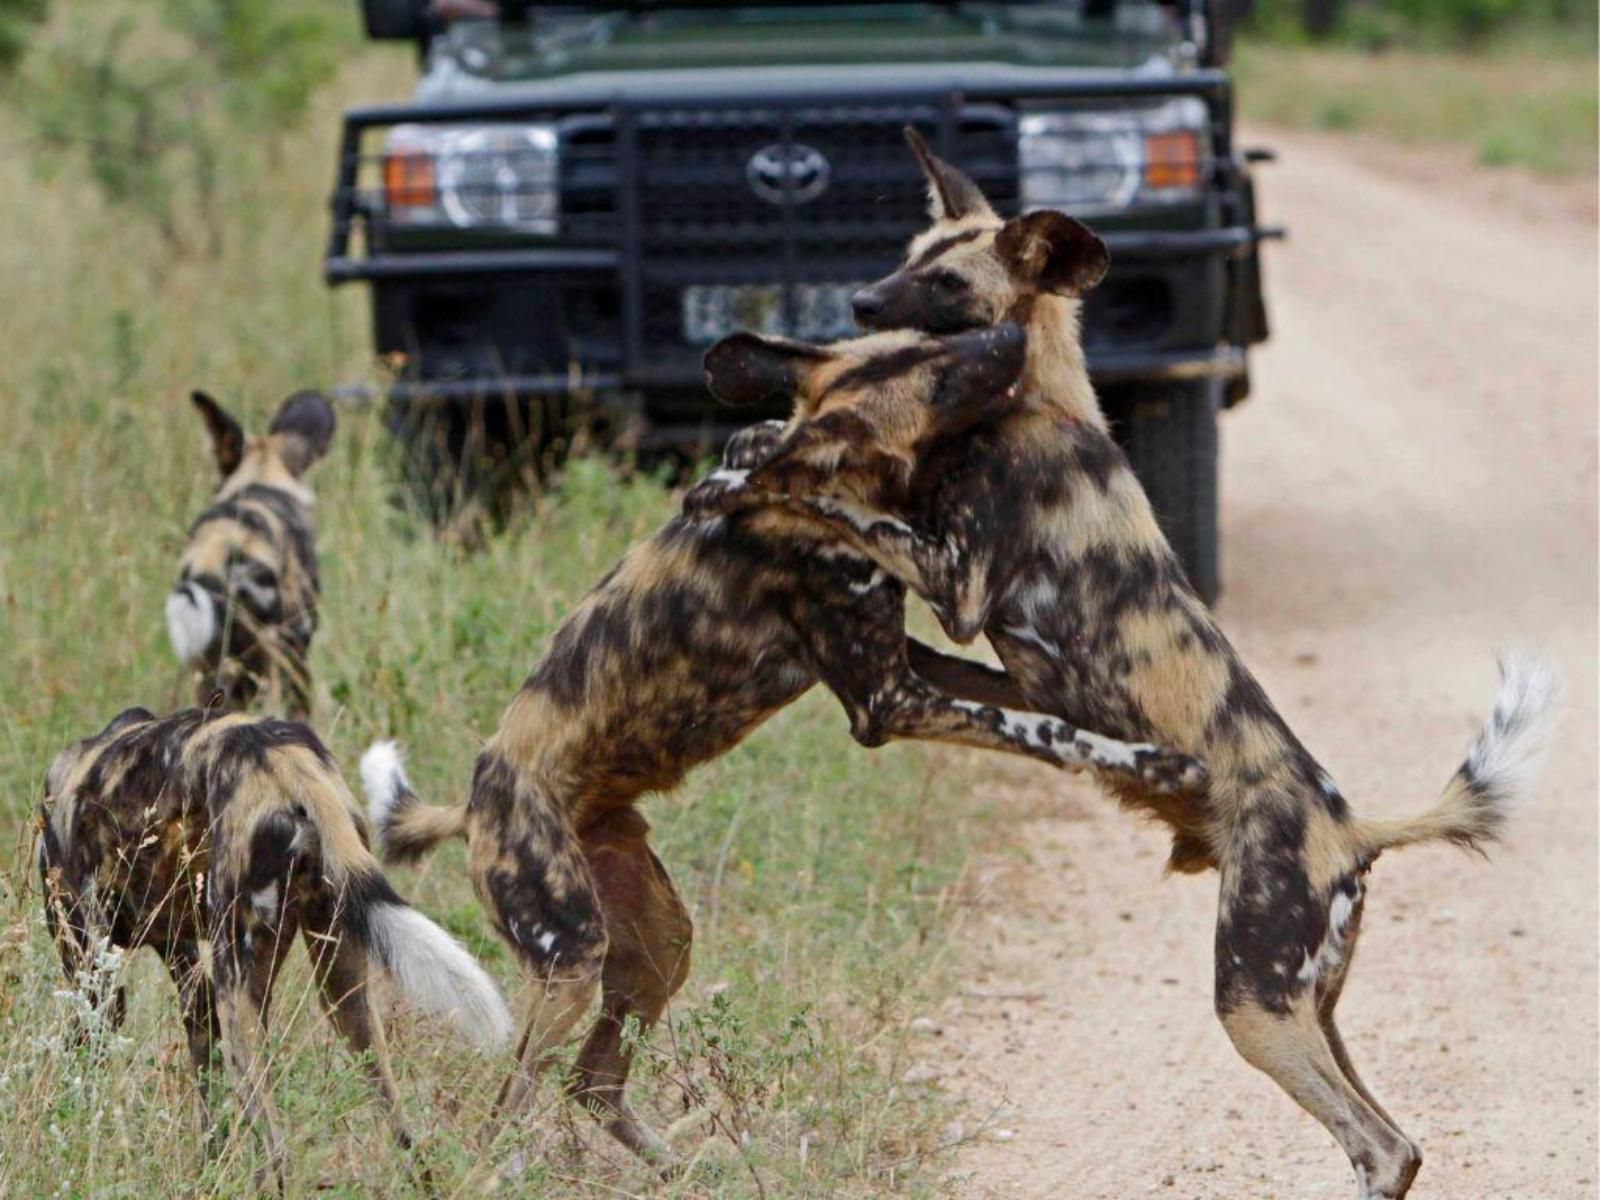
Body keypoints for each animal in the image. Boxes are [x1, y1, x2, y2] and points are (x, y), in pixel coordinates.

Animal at [36, 704, 512, 1184]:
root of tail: (280, 757)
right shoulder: (187, 974)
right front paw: (207, 1167)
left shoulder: (95, 980)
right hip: (341, 990)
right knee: (405, 1136)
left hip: (237, 1003)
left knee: (275, 1154)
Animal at [350, 324, 1203, 1177]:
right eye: (932, 369)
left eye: (930, 340)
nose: (1011, 333)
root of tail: (472, 805)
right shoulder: (888, 703)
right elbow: (1041, 729)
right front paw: (1159, 763)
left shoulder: (904, 665)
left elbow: (1030, 698)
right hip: (571, 958)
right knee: (509, 1106)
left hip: (657, 941)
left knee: (591, 1081)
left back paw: (687, 1173)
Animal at [684, 143, 1548, 1200]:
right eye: (908, 255)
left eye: (945, 283)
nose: (856, 301)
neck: (1027, 404)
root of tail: (1351, 826)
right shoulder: (1010, 667)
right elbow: (940, 660)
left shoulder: (956, 580)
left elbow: (837, 507)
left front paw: (744, 478)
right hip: (1311, 1006)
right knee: (1399, 1140)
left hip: (1252, 1002)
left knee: (1378, 1145)